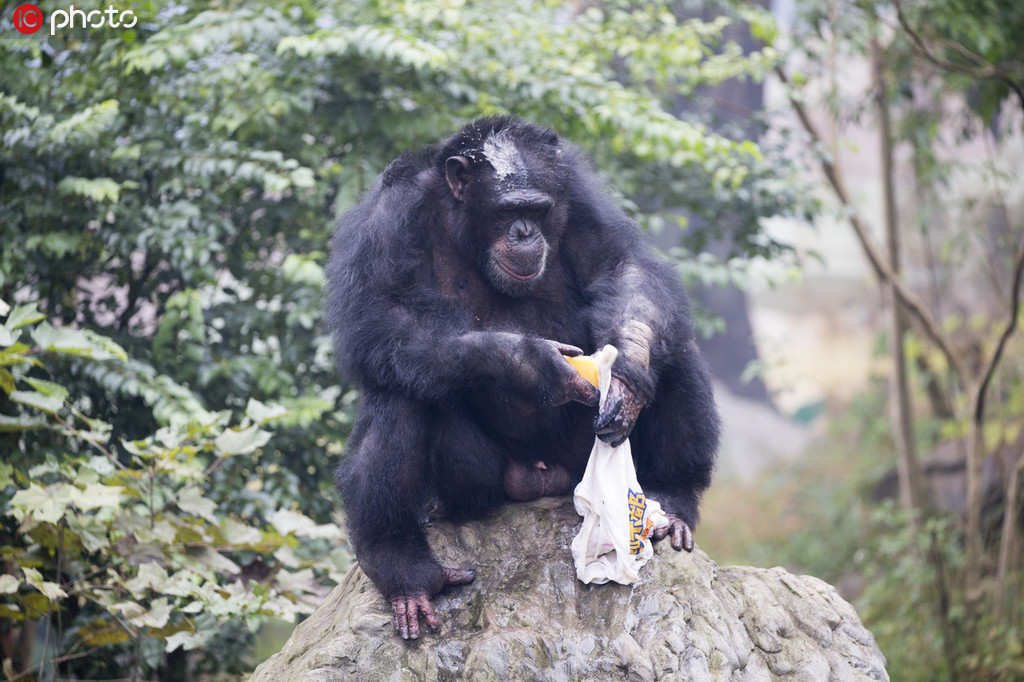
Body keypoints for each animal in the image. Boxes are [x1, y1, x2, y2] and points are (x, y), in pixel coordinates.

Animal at [327, 116, 720, 638]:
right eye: (506, 210)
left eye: (538, 209)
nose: (525, 230)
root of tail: (538, 482)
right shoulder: (389, 216)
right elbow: (383, 311)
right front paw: (531, 364)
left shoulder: (576, 191)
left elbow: (622, 266)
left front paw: (627, 369)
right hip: (479, 483)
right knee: (403, 388)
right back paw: (402, 568)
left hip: (573, 461)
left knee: (673, 346)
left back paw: (673, 499)